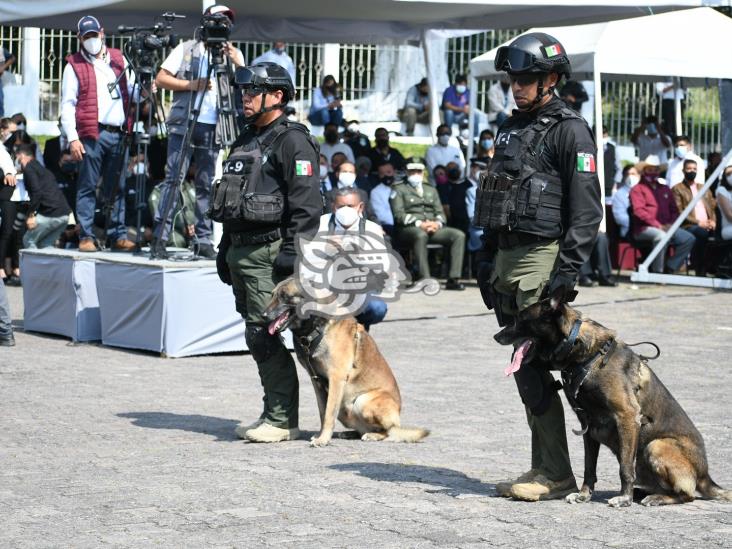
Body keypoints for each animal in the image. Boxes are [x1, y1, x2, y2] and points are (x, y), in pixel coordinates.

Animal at [264, 276, 428, 448]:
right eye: (272, 295)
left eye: (284, 296)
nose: (263, 316)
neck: (317, 327)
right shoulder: (317, 382)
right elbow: (323, 412)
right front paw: (321, 435)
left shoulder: (336, 379)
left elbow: (329, 413)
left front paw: (323, 439)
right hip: (345, 410)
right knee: (362, 429)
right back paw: (350, 433)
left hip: (362, 401)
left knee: (388, 431)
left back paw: (373, 435)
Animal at [494, 288, 728, 508]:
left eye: (520, 319)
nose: (496, 337)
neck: (585, 353)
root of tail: (706, 475)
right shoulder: (588, 427)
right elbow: (589, 467)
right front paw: (583, 495)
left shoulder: (627, 417)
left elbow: (625, 468)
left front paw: (624, 498)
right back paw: (643, 492)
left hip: (657, 445)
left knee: (687, 495)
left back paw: (655, 497)